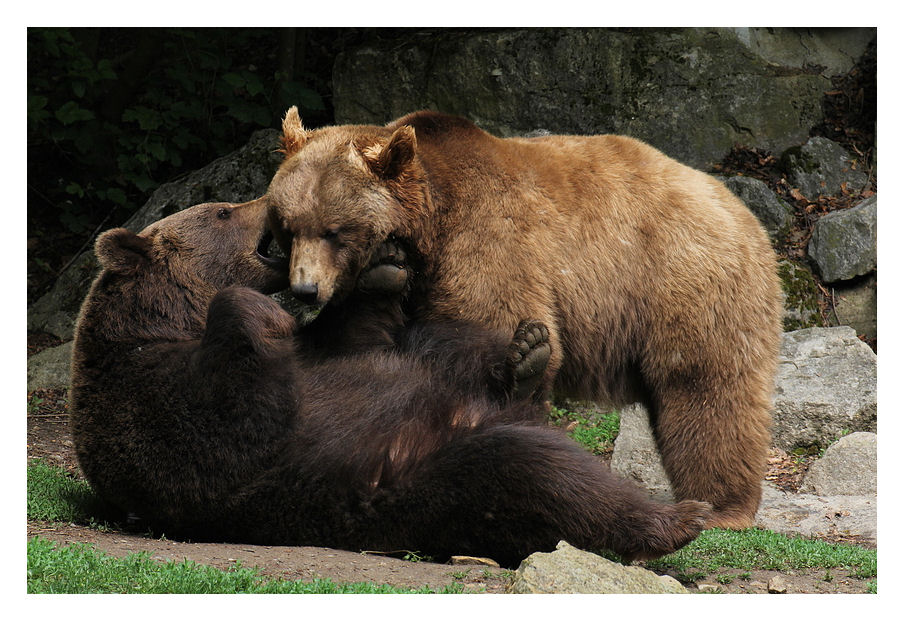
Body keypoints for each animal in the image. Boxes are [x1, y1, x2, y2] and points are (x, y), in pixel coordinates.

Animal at [67, 199, 708, 568]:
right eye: (223, 211)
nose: (266, 202)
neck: (169, 318)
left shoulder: (325, 353)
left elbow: (360, 341)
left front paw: (381, 267)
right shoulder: (152, 400)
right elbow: (235, 422)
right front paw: (258, 308)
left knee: (446, 347)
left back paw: (527, 355)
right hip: (425, 486)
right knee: (538, 472)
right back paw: (675, 520)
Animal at [264, 106, 780, 528]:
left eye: (334, 230)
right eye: (287, 227)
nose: (305, 289)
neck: (430, 223)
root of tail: (741, 210)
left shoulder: (485, 241)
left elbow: (493, 325)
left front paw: (522, 369)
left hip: (682, 280)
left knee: (706, 388)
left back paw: (723, 507)